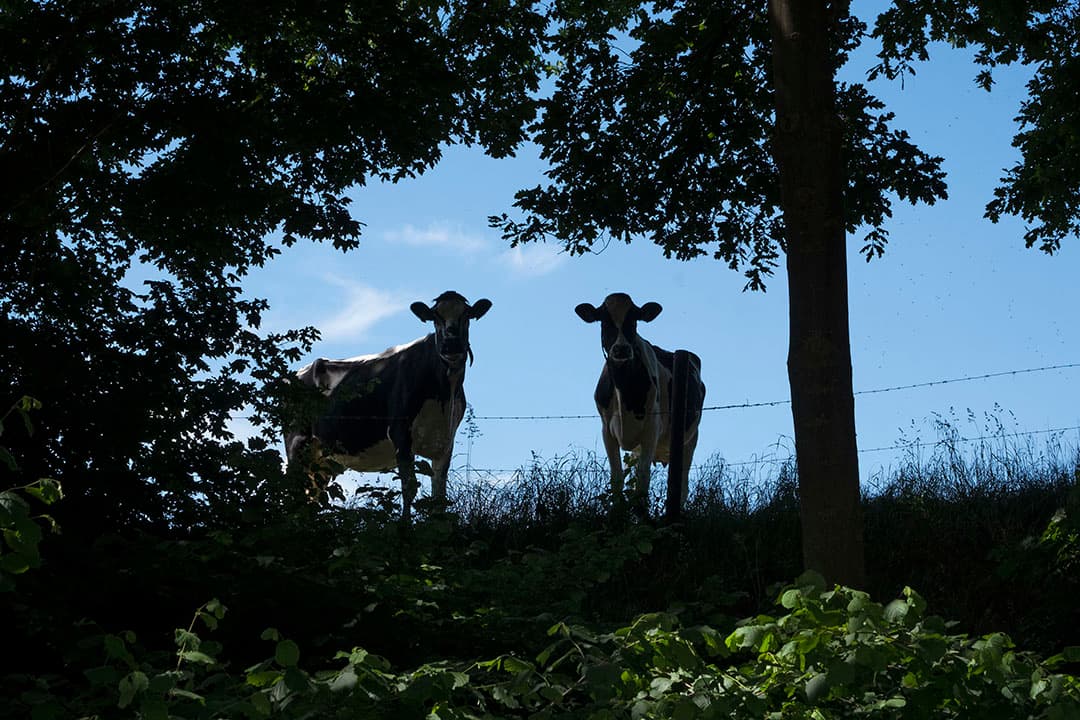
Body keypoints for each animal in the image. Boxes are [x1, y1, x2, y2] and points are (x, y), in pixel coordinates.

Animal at [285, 291, 492, 520]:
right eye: (435, 318)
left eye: (466, 316)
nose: (451, 347)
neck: (443, 394)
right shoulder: (400, 433)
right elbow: (409, 488)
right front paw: (405, 525)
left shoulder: (445, 441)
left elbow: (439, 497)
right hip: (297, 444)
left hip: (322, 460)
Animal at [575, 293, 705, 515]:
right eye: (604, 320)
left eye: (634, 321)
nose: (621, 349)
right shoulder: (607, 431)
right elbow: (617, 478)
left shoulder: (651, 430)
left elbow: (643, 480)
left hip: (689, 439)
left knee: (683, 485)